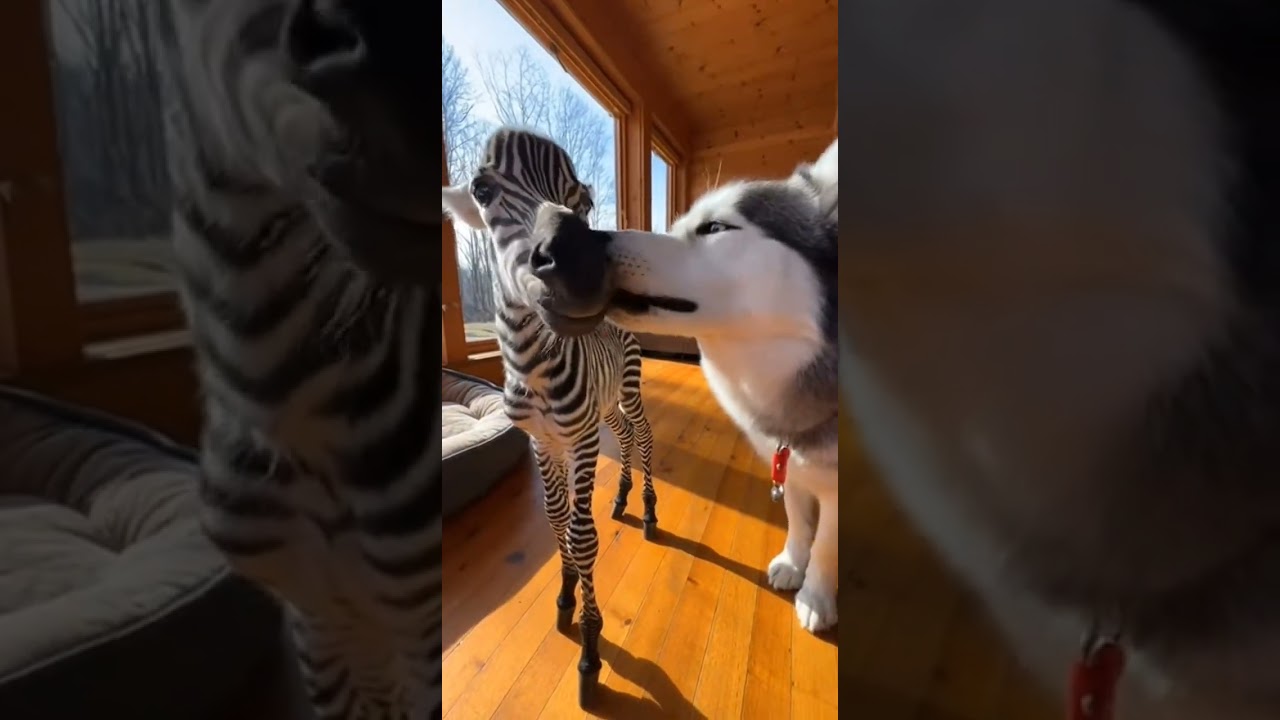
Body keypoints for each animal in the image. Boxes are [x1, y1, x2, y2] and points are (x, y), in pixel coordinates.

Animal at [441, 128, 658, 707]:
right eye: (482, 190)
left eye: (583, 202)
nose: (583, 272)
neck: (533, 366)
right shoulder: (543, 442)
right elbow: (556, 518)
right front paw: (564, 593)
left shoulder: (578, 442)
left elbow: (582, 536)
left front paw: (590, 648)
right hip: (604, 407)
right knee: (626, 436)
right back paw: (624, 497)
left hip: (628, 388)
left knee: (644, 435)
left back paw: (650, 509)